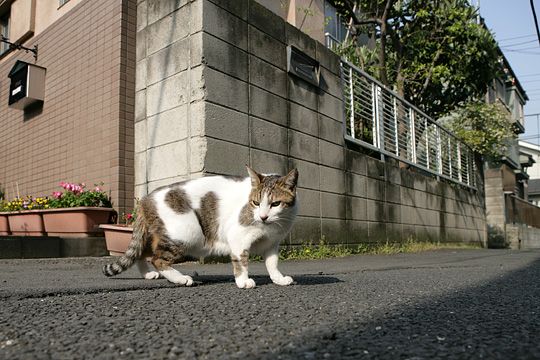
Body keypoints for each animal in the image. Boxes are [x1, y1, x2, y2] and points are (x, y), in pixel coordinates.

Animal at [103, 167, 298, 290]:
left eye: (275, 204)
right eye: (256, 203)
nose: (263, 217)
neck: (270, 228)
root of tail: (145, 199)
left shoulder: (272, 243)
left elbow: (272, 263)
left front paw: (279, 279)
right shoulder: (238, 236)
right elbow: (241, 261)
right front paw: (243, 281)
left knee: (141, 253)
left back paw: (148, 275)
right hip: (187, 232)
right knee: (158, 259)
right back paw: (181, 279)